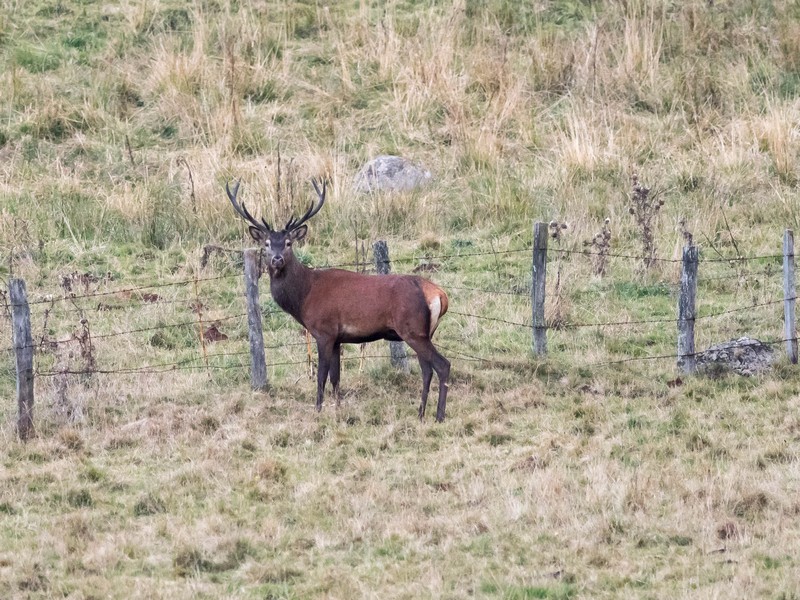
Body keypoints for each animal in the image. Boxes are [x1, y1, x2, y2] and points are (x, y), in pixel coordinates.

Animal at [226, 178, 451, 422]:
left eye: (288, 243)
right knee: (427, 370)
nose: (277, 259)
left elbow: (321, 375)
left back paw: (439, 416)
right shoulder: (337, 338)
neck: (304, 297)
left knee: (442, 365)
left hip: (412, 329)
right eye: (266, 243)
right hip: (425, 332)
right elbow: (336, 377)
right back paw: (420, 413)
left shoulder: (324, 331)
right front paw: (339, 410)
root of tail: (439, 294)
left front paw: (318, 410)